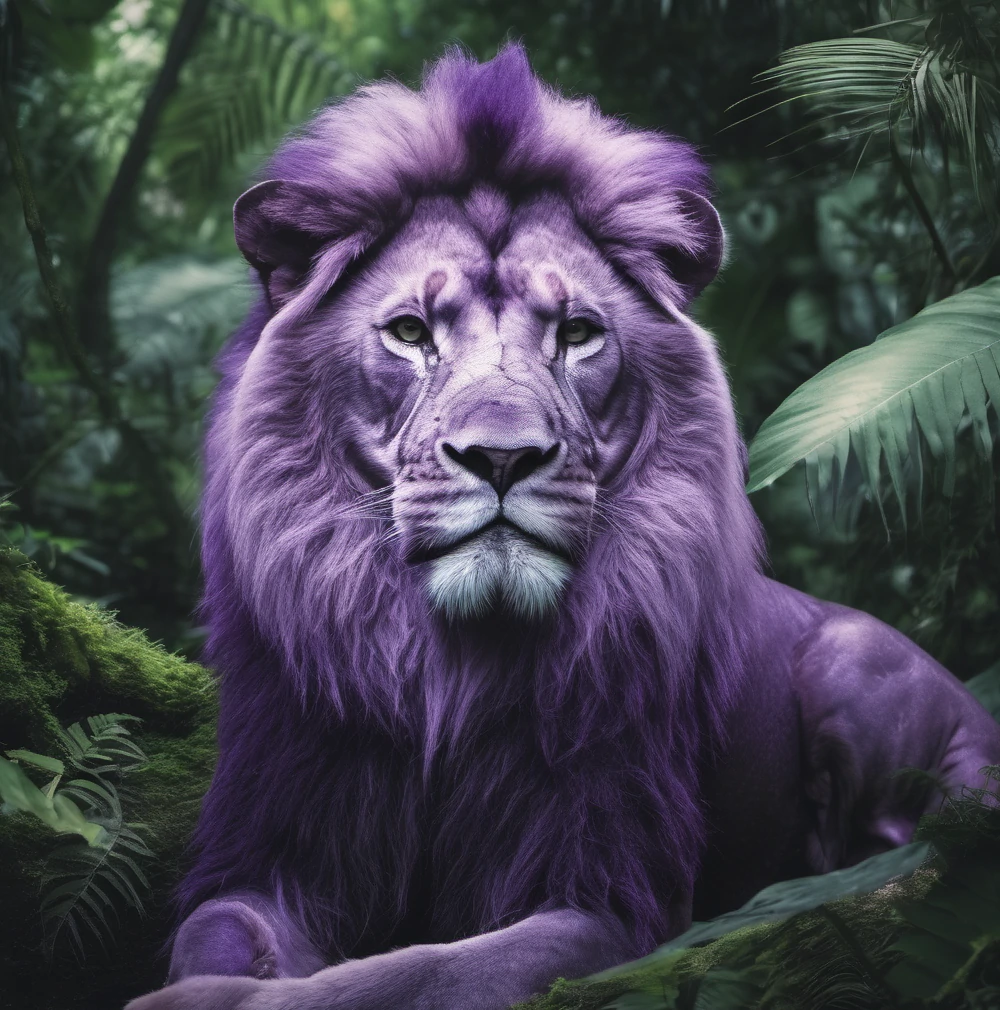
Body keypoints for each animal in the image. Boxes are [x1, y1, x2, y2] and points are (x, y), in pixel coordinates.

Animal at [126, 45, 1000, 1010]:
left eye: (577, 333)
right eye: (409, 332)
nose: (502, 457)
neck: (447, 673)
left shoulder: (609, 904)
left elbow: (414, 974)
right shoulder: (274, 849)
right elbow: (213, 933)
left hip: (858, 674)